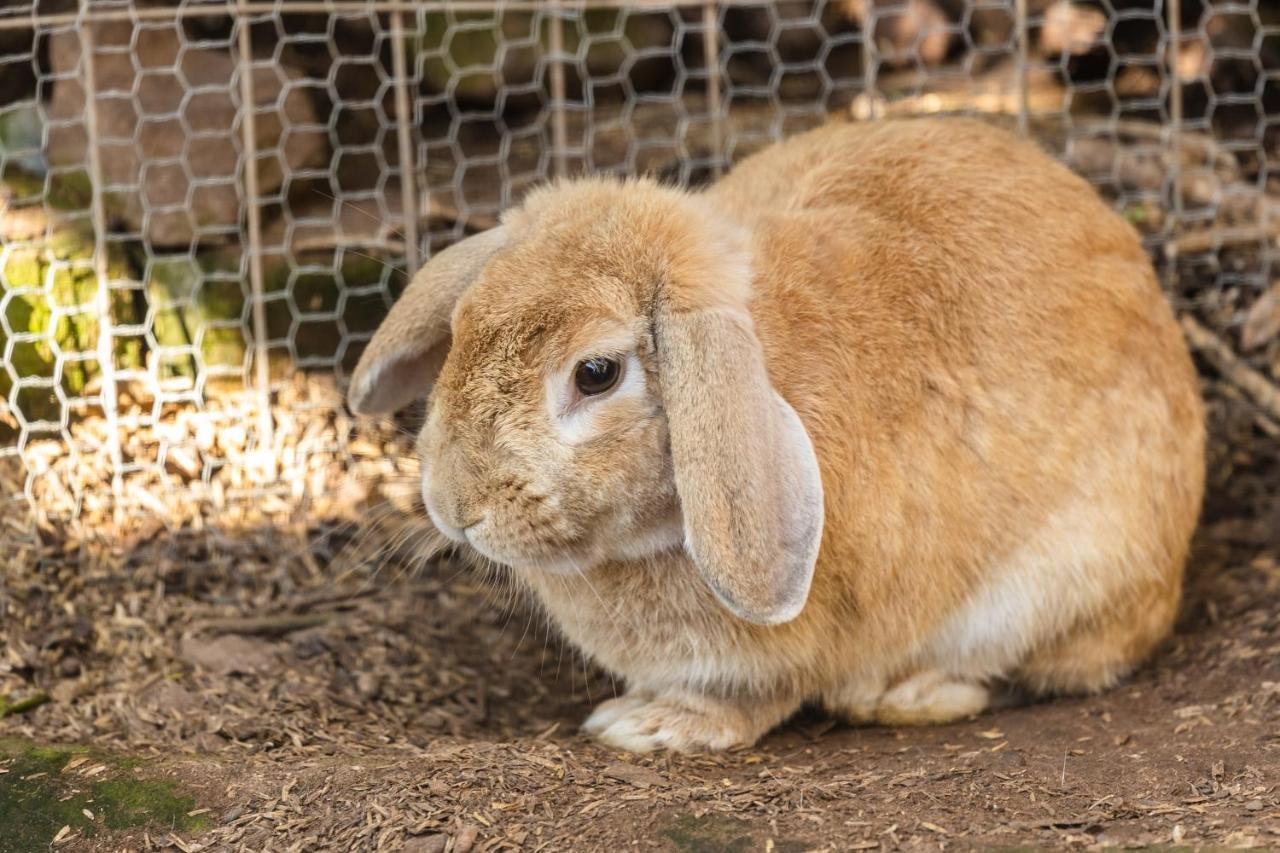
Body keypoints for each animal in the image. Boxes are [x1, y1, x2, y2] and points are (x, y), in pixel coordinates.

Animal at [348, 114, 1198, 753]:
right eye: (461, 329)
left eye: (595, 373)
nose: (454, 505)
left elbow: (757, 699)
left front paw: (649, 725)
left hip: (1071, 576)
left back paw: (910, 691)